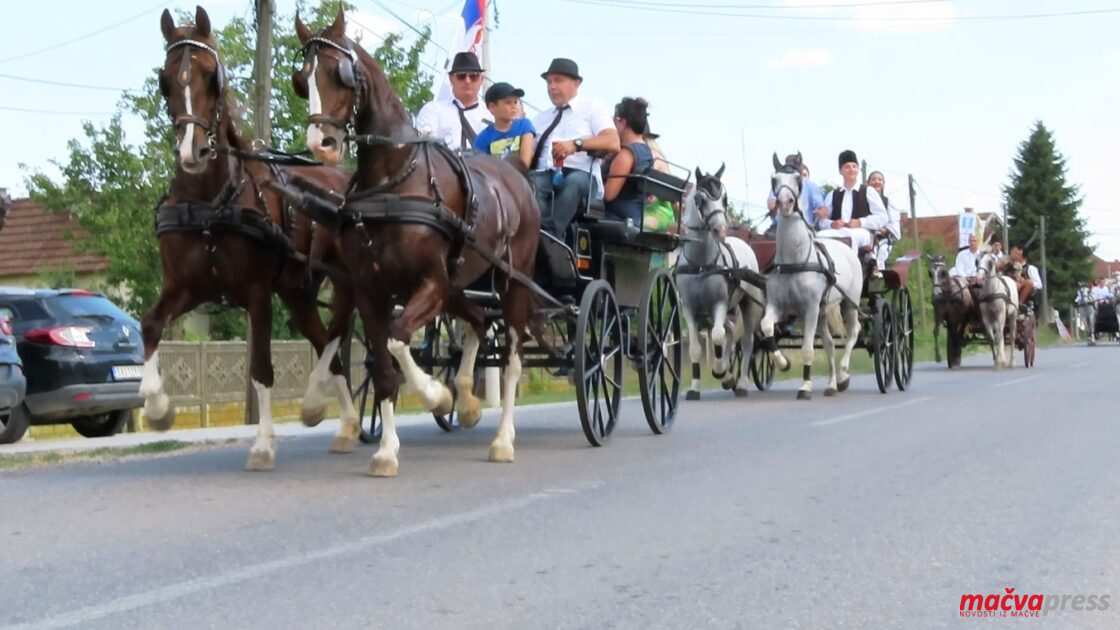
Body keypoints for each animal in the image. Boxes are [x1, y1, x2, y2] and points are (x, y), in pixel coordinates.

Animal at [141, 4, 358, 466]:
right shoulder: (185, 287)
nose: (192, 151)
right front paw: (157, 408)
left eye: (212, 76)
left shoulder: (258, 292)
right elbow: (148, 324)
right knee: (328, 348)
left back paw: (321, 406)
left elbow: (260, 368)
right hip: (297, 292)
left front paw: (261, 445)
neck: (210, 203)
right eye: (165, 80)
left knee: (335, 336)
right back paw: (345, 423)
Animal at [291, 9, 539, 473]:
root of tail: (515, 173)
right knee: (479, 322)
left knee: (512, 360)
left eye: (339, 73)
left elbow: (397, 338)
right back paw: (468, 400)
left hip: (514, 280)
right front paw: (388, 449)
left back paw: (503, 439)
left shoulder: (430, 284)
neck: (393, 181)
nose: (322, 143)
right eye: (302, 79)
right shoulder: (372, 290)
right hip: (459, 284)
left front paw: (435, 395)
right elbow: (383, 366)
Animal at [672, 164, 761, 394]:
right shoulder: (690, 309)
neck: (700, 265)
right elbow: (696, 348)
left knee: (746, 341)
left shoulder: (719, 304)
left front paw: (722, 372)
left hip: (749, 305)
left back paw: (741, 382)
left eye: (724, 199)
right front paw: (695, 387)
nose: (721, 229)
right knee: (729, 331)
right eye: (701, 199)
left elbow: (719, 336)